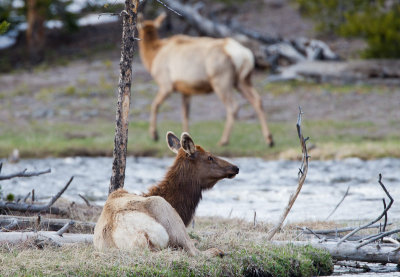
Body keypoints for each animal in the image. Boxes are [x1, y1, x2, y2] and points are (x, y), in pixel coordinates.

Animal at [94, 130, 238, 256]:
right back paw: (217, 251)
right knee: (195, 251)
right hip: (168, 216)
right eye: (210, 157)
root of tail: (140, 237)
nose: (235, 167)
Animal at [138, 12, 276, 147]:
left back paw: (224, 140)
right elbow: (185, 114)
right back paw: (269, 139)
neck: (153, 56)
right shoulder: (186, 90)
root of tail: (245, 55)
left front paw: (154, 135)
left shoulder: (165, 84)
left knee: (233, 106)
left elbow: (155, 105)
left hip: (221, 80)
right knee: (257, 100)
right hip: (243, 80)